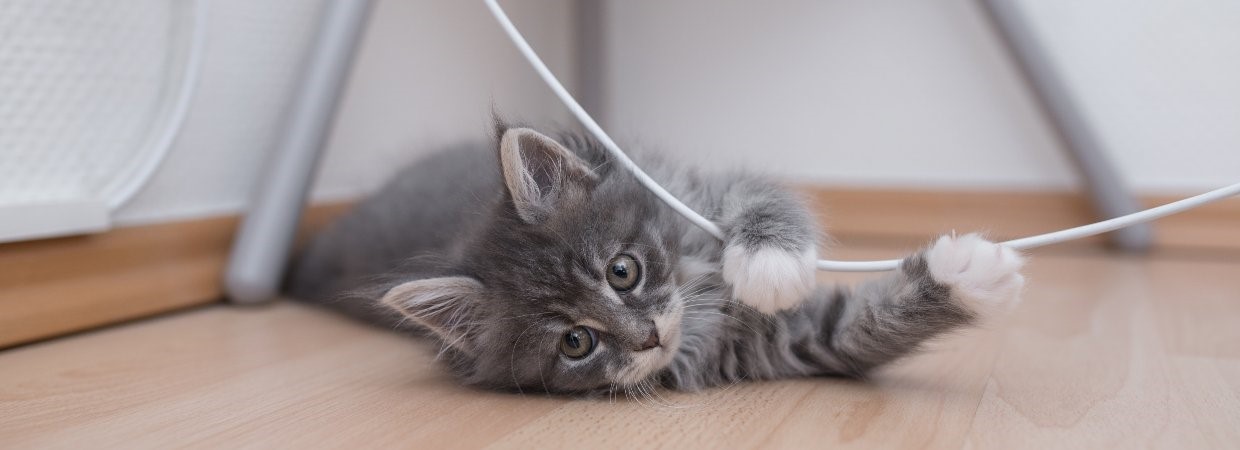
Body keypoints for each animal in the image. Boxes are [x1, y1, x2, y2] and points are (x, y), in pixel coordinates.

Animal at [283, 121, 1026, 394]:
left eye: (623, 270)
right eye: (576, 342)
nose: (645, 337)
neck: (699, 301)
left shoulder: (697, 189)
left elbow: (764, 201)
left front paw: (769, 265)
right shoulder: (796, 343)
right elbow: (863, 324)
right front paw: (967, 275)